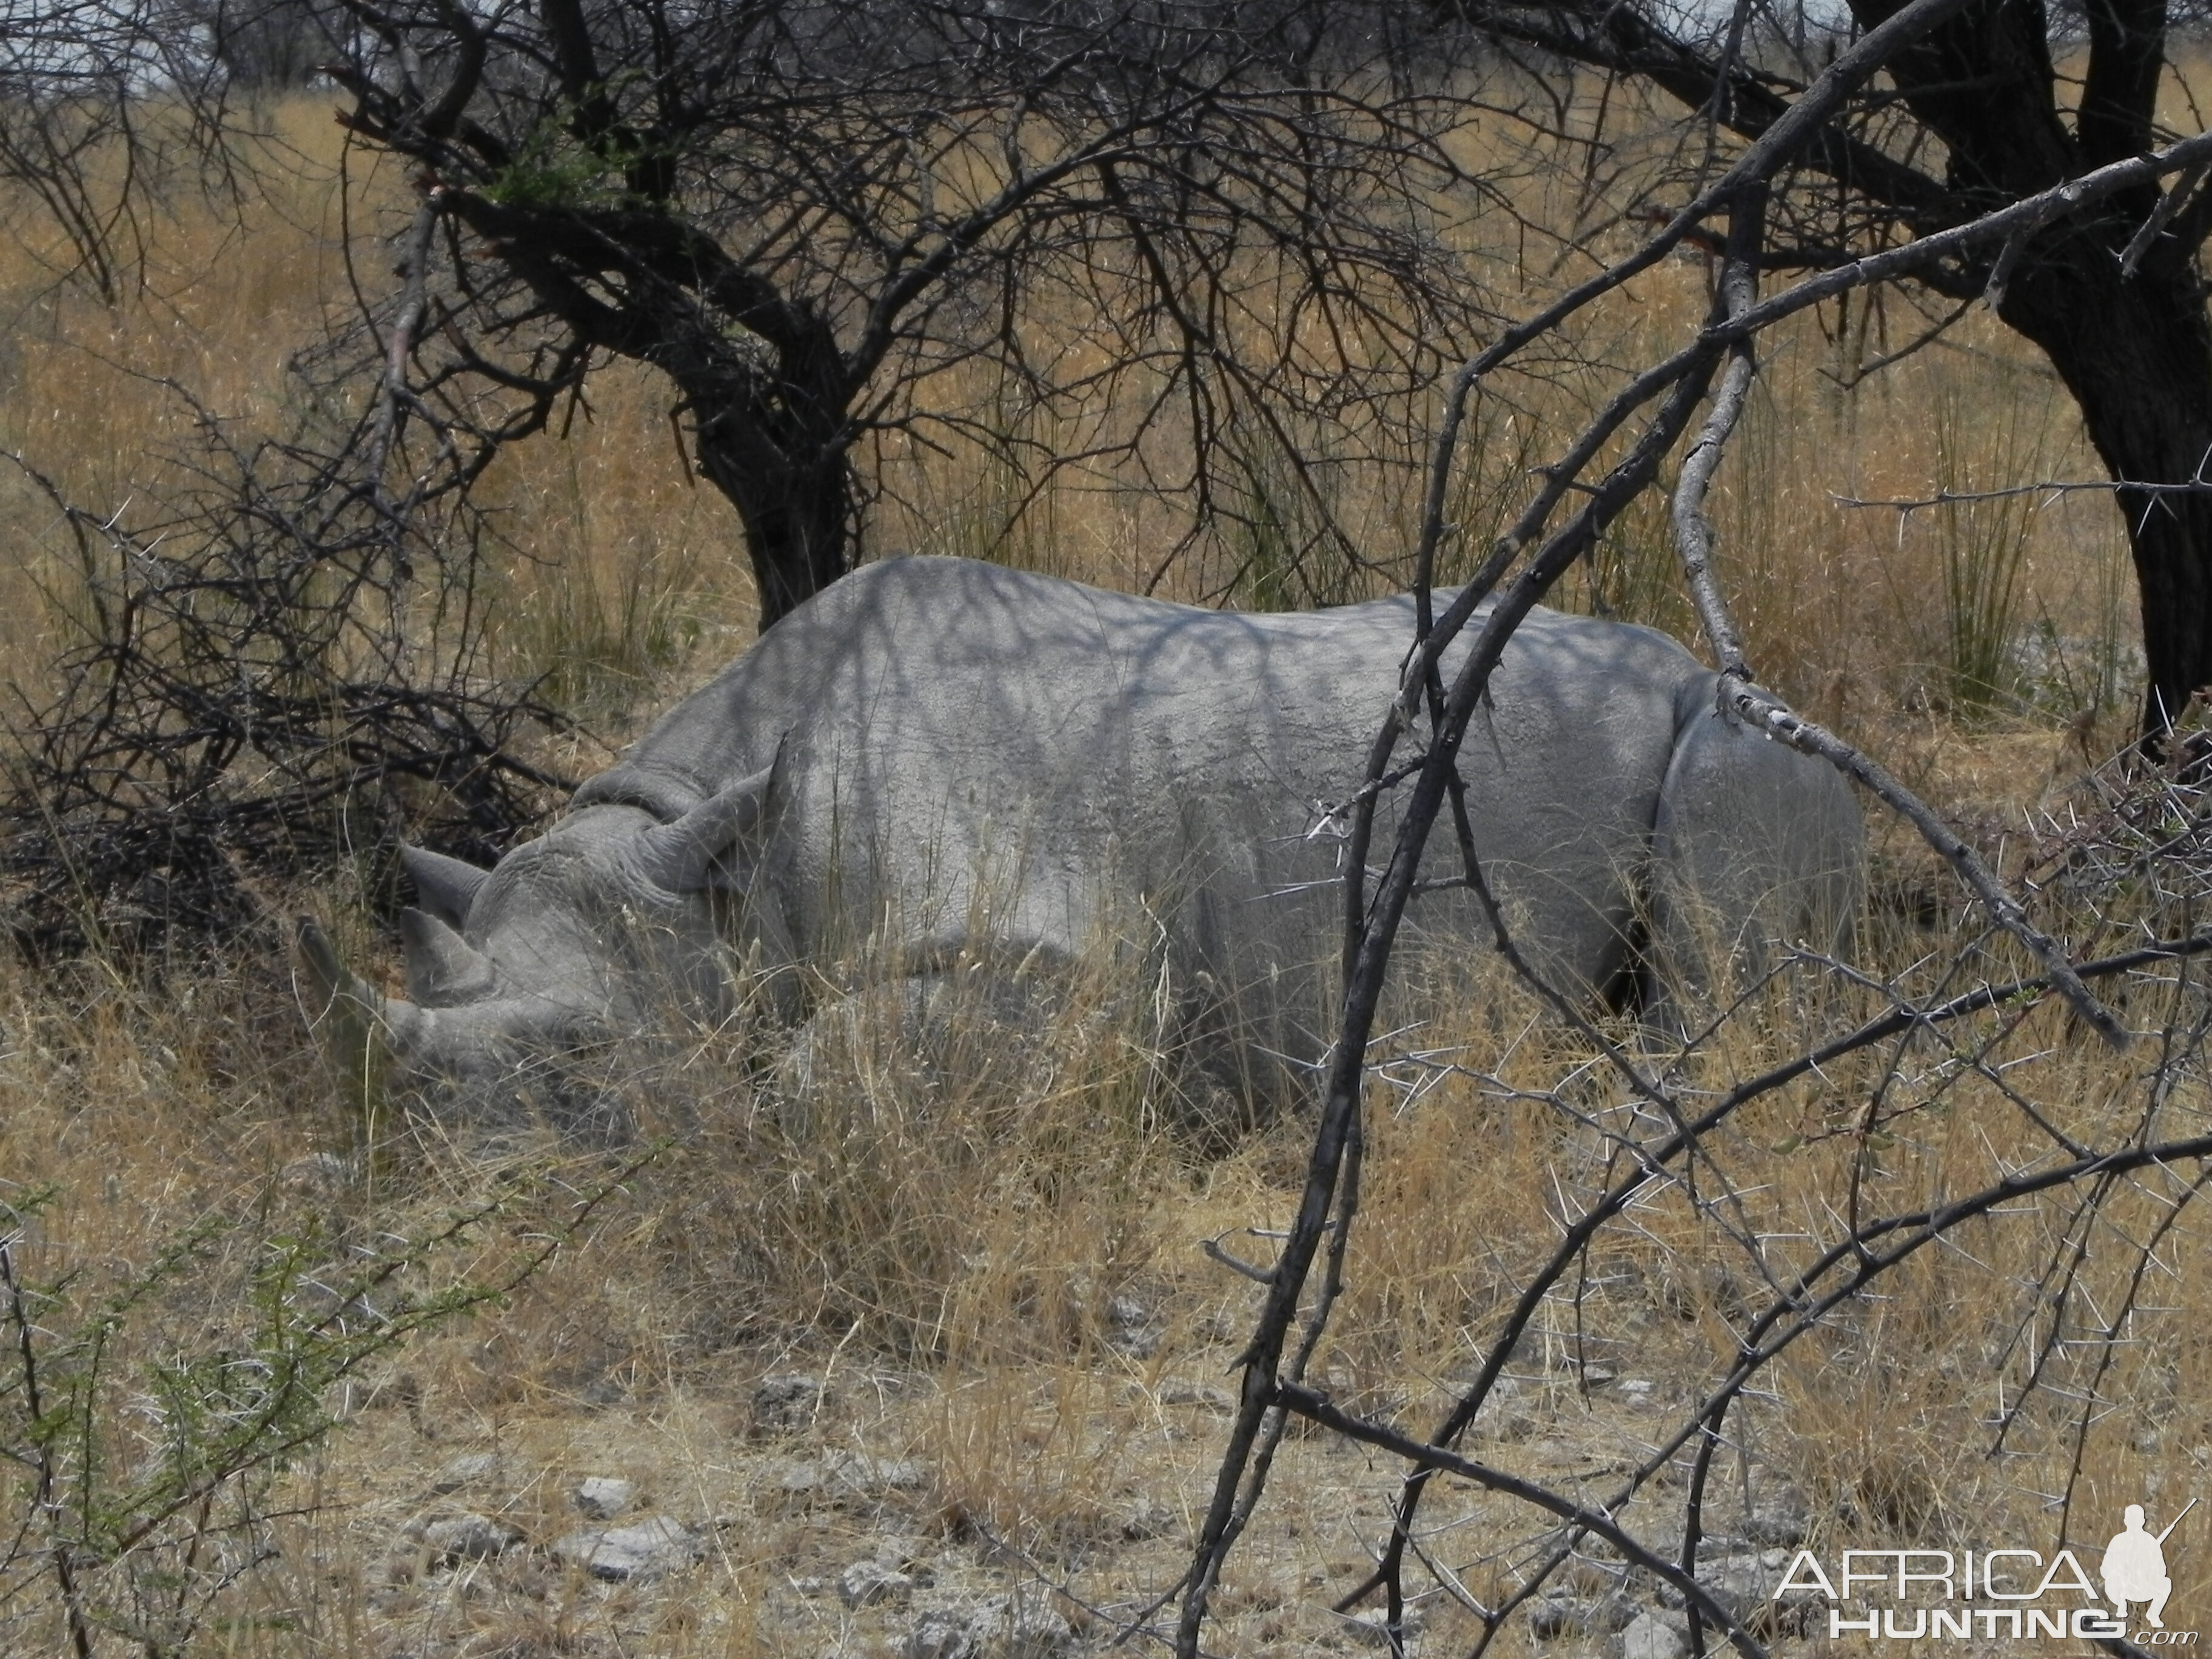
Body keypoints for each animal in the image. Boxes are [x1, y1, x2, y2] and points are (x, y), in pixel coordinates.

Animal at [289, 553, 1849, 1124]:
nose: (467, 1175)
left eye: (584, 1068)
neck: (720, 855)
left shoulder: (1059, 960)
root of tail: (1691, 655)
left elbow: (820, 1059)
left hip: (1730, 728)